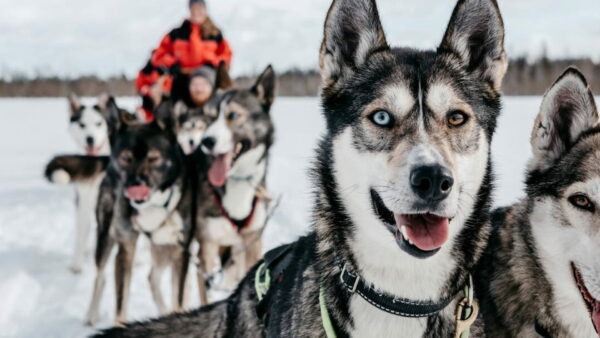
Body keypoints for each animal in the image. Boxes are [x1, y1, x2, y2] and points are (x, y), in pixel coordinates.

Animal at [45, 93, 114, 274]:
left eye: (99, 123)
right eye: (82, 125)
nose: (90, 139)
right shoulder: (84, 200)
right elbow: (82, 233)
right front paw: (77, 264)